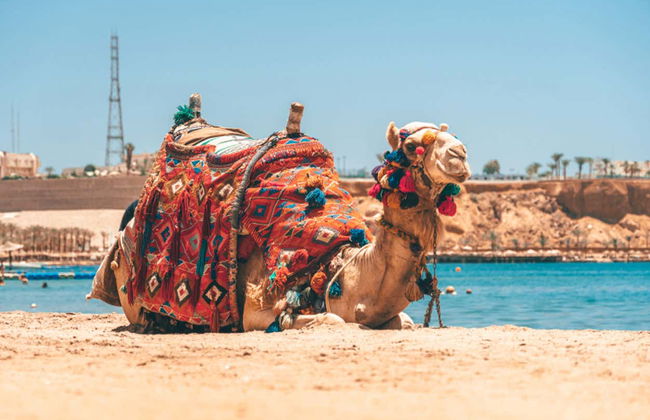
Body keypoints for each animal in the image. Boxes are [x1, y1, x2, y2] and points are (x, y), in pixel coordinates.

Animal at [98, 97, 471, 332]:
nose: (460, 154)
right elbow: (333, 321)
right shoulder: (257, 311)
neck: (338, 266)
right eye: (411, 146)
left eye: (451, 135)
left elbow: (403, 321)